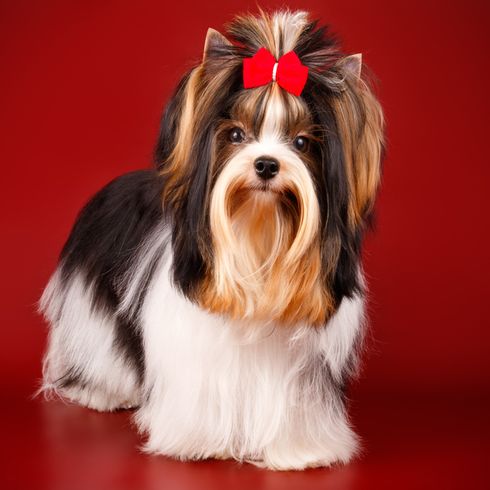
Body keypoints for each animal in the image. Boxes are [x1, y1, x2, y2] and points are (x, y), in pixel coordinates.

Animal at [38, 10, 384, 470]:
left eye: (302, 142)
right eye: (236, 135)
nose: (267, 164)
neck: (257, 236)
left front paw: (299, 451)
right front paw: (198, 441)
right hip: (90, 307)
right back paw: (99, 392)